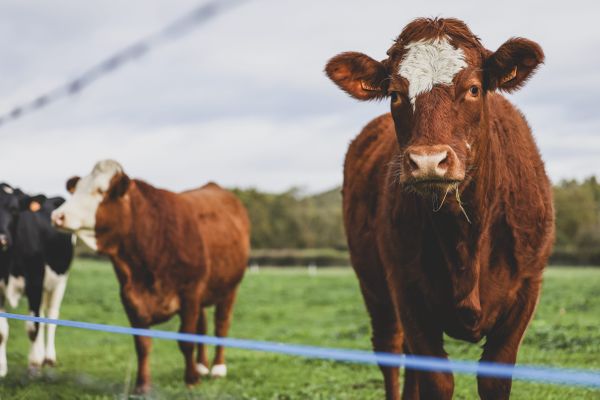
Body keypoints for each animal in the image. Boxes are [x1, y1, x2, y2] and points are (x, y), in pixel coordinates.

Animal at [0, 183, 74, 376]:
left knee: (51, 317)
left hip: (60, 282)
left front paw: (33, 365)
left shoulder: (34, 282)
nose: (1, 238)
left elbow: (33, 327)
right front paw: (1, 368)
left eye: (15, 210)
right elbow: (2, 330)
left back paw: (47, 358)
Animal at [49, 158, 251, 392]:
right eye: (77, 189)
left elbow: (186, 339)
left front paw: (191, 380)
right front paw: (143, 385)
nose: (57, 216)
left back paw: (217, 368)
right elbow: (143, 344)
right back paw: (202, 365)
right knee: (203, 325)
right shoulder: (130, 297)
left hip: (230, 287)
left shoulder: (190, 293)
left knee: (221, 324)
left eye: (99, 191)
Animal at [326, 17, 556, 398]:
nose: (428, 161)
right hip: (374, 288)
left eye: (474, 89)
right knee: (390, 351)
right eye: (395, 93)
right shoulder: (407, 291)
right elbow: (436, 379)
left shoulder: (526, 290)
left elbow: (493, 378)